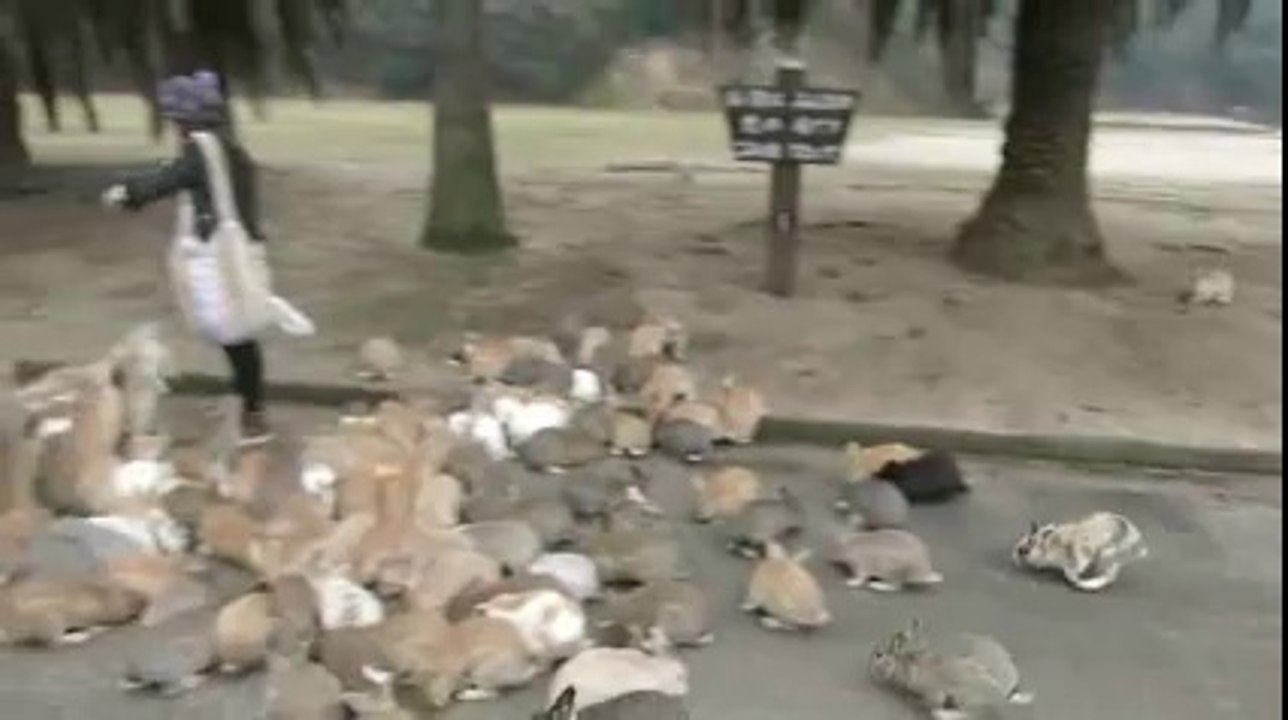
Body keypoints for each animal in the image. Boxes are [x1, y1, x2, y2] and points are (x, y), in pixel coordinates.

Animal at [869, 619, 1033, 719]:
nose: (870, 668)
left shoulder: (932, 691)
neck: (903, 665)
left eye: (878, 654)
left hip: (967, 699)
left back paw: (940, 714)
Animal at [1012, 511, 1148, 592]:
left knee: (1109, 577)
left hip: (1106, 558)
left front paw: (1076, 580)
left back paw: (1088, 583)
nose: (1013, 557)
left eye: (1024, 549)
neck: (1049, 546)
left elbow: (1070, 572)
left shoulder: (1077, 556)